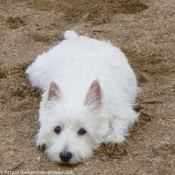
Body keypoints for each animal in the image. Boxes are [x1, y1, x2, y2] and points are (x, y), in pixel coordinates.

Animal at [25, 31, 139, 164]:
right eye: (57, 129)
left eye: (82, 131)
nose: (65, 156)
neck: (78, 90)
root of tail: (75, 37)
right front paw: (43, 139)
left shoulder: (123, 110)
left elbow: (119, 122)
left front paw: (113, 138)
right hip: (37, 73)